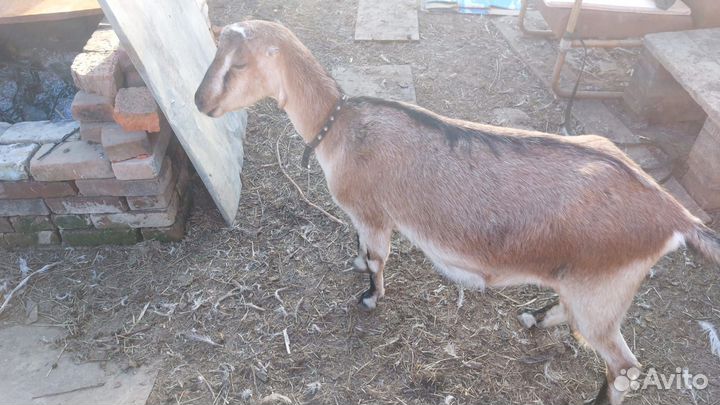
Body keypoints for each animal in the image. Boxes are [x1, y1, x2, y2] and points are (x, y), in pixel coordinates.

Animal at [195, 20, 720, 405]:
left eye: (238, 63)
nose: (200, 102)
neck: (339, 125)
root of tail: (676, 214)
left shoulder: (373, 213)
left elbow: (378, 259)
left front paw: (369, 297)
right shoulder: (364, 217)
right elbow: (363, 252)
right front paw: (357, 266)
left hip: (604, 288)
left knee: (624, 365)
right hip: (587, 282)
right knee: (573, 317)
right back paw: (532, 319)